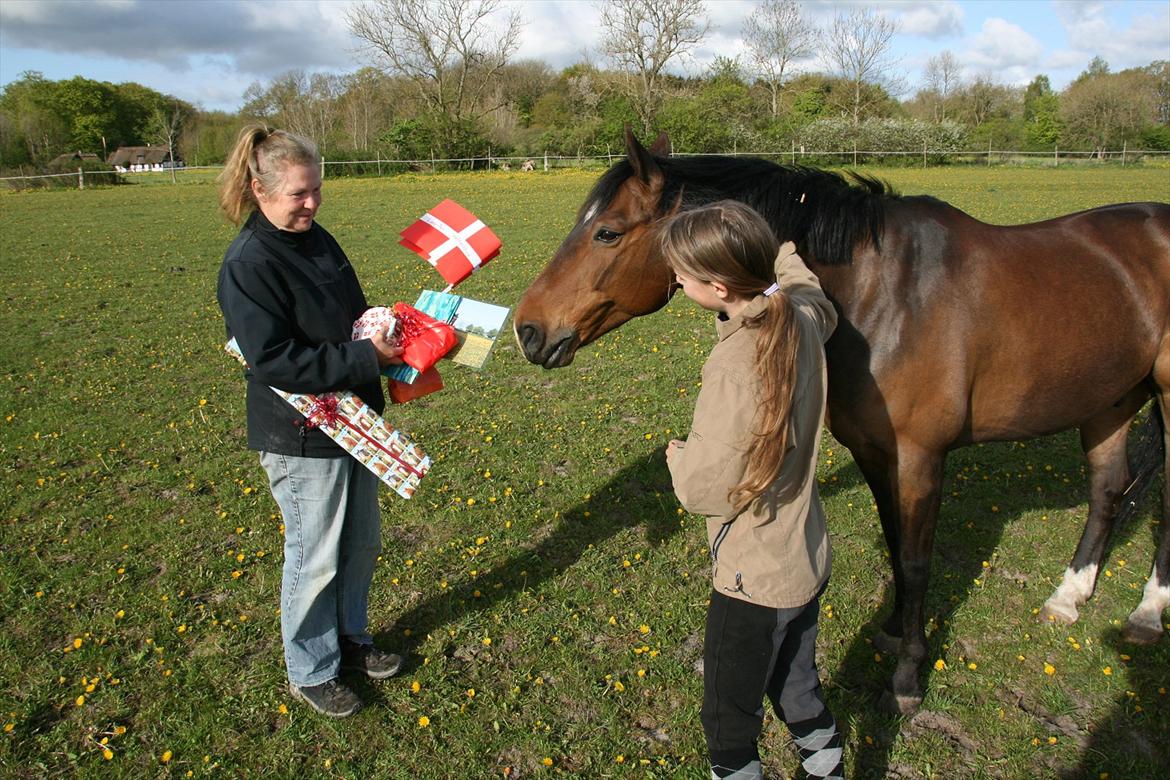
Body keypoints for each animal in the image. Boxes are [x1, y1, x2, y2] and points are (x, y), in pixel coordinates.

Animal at [514, 130, 1170, 713]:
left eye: (606, 231)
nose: (527, 330)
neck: (887, 293)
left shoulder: (921, 457)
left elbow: (917, 560)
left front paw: (906, 678)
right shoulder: (875, 452)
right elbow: (894, 544)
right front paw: (895, 629)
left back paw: (1146, 612)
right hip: (1110, 401)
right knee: (1108, 490)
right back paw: (1070, 596)